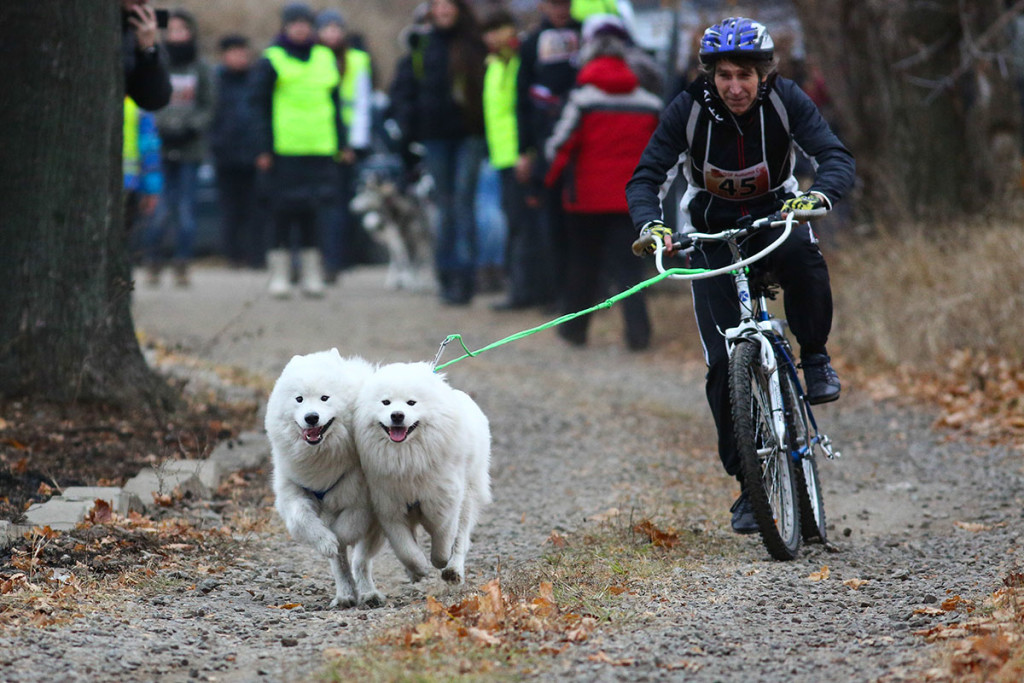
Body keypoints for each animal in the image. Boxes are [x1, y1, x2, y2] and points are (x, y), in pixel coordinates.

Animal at [266, 350, 385, 606]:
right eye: (299, 399)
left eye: (324, 398)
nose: (311, 417)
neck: (321, 460)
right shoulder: (292, 493)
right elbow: (301, 521)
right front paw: (325, 541)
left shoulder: (360, 502)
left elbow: (345, 531)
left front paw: (335, 539)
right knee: (342, 565)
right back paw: (345, 595)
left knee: (361, 560)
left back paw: (368, 593)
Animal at [356, 362, 491, 581]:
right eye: (386, 402)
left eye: (411, 403)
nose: (397, 415)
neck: (407, 459)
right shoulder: (389, 508)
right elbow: (405, 549)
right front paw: (417, 568)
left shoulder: (444, 503)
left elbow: (443, 539)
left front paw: (440, 561)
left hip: (468, 497)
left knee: (462, 538)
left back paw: (453, 570)